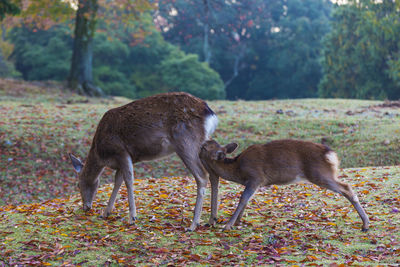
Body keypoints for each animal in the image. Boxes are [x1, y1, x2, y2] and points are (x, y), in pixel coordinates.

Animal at [69, 91, 219, 230]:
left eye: (78, 184)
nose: (86, 207)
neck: (101, 154)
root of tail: (210, 113)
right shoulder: (122, 160)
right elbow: (118, 182)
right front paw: (106, 213)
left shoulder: (121, 151)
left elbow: (128, 181)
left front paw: (132, 218)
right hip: (202, 142)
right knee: (212, 174)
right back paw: (211, 220)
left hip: (186, 141)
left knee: (202, 175)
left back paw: (193, 224)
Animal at [198, 140, 370, 232]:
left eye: (205, 147)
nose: (201, 143)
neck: (238, 170)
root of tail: (331, 155)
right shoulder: (253, 182)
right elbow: (246, 200)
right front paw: (238, 221)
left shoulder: (256, 178)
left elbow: (242, 199)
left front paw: (228, 225)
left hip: (320, 174)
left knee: (347, 188)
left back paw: (365, 224)